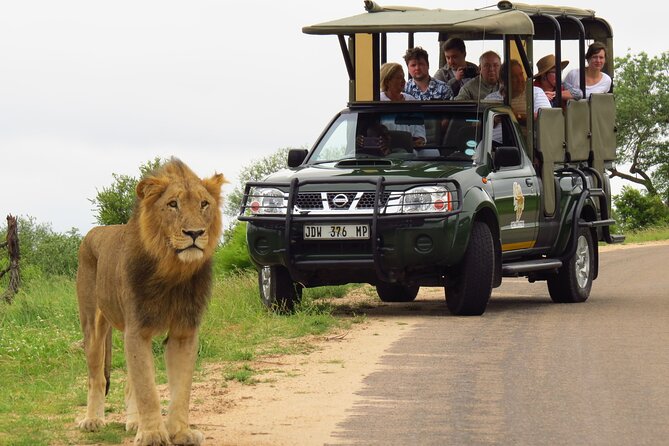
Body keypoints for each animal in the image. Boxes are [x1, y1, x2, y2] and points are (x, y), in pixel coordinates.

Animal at [77, 159, 226, 446]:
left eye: (204, 204)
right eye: (173, 204)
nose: (195, 233)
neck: (173, 270)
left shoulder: (184, 332)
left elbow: (180, 389)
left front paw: (180, 432)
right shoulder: (138, 329)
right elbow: (147, 389)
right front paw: (153, 434)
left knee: (128, 383)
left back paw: (134, 422)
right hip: (93, 325)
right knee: (96, 376)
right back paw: (93, 420)